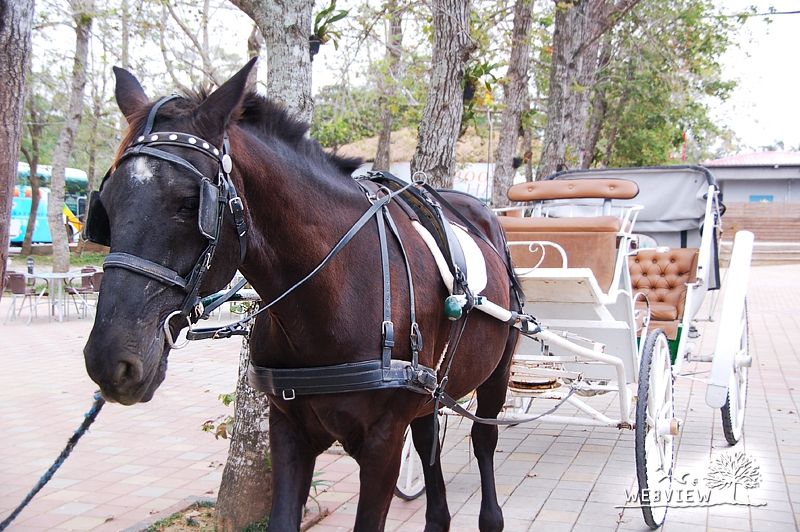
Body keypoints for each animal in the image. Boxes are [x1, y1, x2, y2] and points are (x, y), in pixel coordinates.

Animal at [83, 58, 521, 531]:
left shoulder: (382, 444)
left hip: (499, 368)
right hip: (431, 387)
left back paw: (491, 514)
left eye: (189, 204)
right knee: (427, 442)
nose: (109, 360)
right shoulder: (289, 429)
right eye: (105, 208)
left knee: (484, 436)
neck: (335, 296)